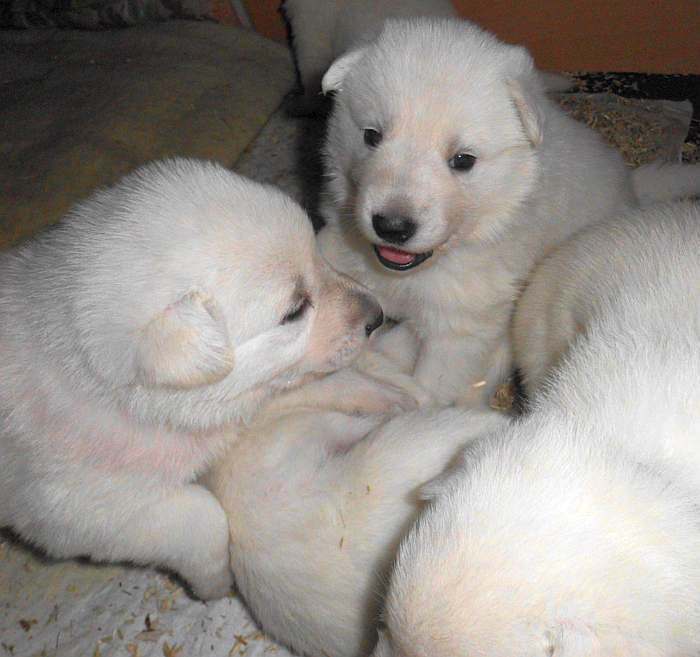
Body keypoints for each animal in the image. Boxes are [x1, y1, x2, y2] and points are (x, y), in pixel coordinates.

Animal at [0, 158, 388, 600]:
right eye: (293, 311)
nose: (378, 316)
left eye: (316, 254)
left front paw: (395, 397)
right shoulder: (77, 510)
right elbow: (202, 518)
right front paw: (216, 583)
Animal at [318, 18, 700, 408]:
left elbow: (433, 386)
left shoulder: (459, 333)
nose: (392, 227)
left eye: (463, 160)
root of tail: (632, 186)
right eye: (371, 136)